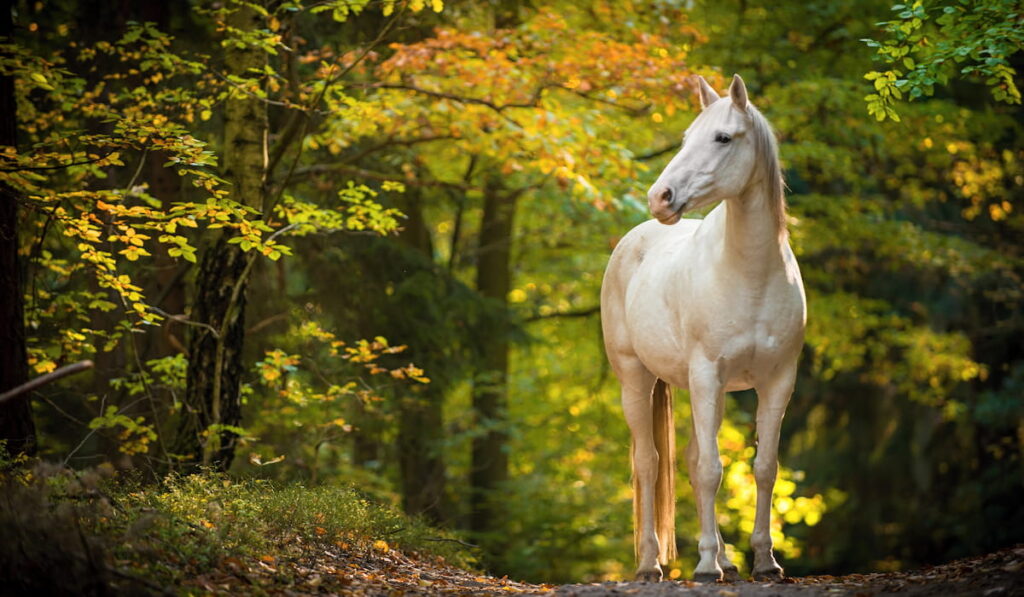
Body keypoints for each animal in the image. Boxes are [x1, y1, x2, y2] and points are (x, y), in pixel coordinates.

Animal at [598, 74, 806, 585]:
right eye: (686, 137)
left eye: (723, 138)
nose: (661, 197)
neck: (751, 275)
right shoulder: (707, 374)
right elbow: (712, 470)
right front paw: (706, 566)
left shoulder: (778, 380)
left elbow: (764, 467)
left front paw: (765, 561)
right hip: (637, 379)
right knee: (649, 463)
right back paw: (653, 564)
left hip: (700, 388)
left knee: (691, 458)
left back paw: (727, 561)